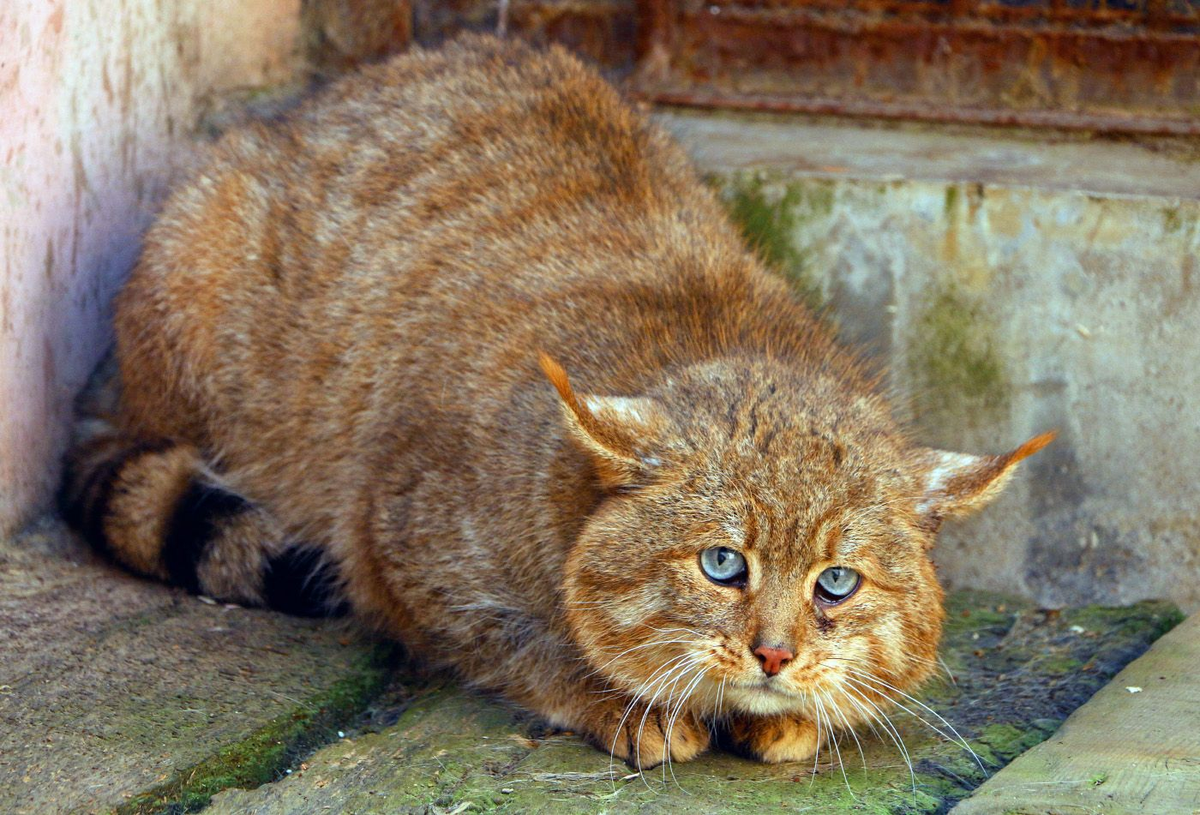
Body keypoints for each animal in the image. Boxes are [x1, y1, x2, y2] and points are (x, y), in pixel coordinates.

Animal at [58, 33, 1051, 772]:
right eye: (721, 563)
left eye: (836, 582)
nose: (775, 654)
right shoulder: (394, 541)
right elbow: (516, 644)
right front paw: (617, 697)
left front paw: (796, 710)